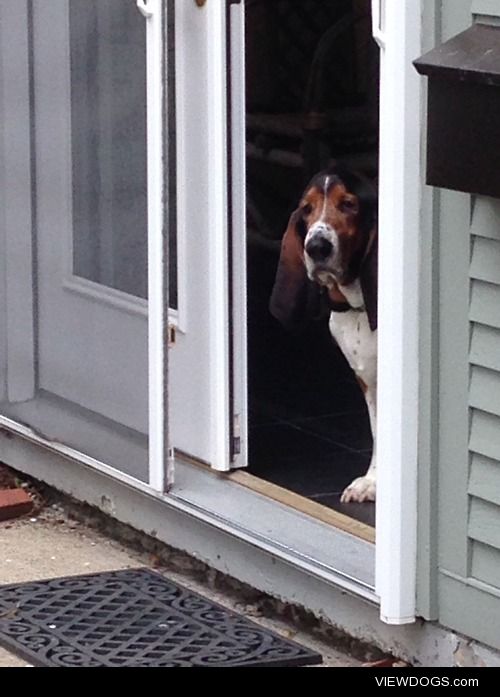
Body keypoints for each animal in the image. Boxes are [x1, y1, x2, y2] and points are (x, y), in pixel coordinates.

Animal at [268, 163, 376, 500]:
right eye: (306, 209)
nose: (316, 247)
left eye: (349, 204)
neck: (359, 307)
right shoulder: (367, 380)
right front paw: (373, 481)